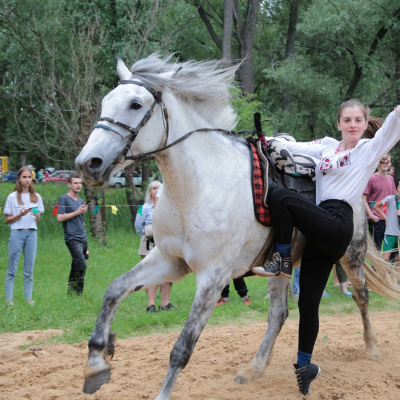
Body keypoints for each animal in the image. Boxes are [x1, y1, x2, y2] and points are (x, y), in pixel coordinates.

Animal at [75, 54, 400, 400]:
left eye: (135, 104)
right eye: (105, 102)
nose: (88, 163)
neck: (198, 188)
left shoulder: (213, 277)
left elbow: (181, 348)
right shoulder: (170, 261)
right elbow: (114, 290)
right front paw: (96, 362)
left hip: (350, 256)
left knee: (361, 296)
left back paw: (372, 348)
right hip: (282, 268)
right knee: (279, 314)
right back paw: (254, 369)